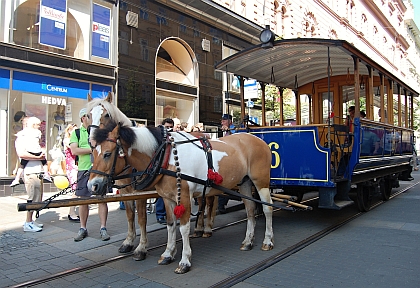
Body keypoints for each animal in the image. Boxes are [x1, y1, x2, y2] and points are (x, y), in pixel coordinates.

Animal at [84, 93, 148, 260]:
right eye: (88, 115)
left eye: (106, 115)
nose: (93, 140)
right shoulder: (126, 192)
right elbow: (130, 215)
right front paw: (128, 241)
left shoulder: (141, 192)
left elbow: (141, 218)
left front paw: (141, 247)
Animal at [87, 120, 274, 274]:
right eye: (93, 152)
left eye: (107, 154)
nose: (92, 186)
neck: (165, 155)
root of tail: (258, 139)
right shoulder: (168, 198)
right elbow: (170, 225)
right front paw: (168, 254)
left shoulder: (183, 197)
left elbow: (183, 228)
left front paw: (184, 261)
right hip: (244, 183)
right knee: (250, 210)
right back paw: (248, 241)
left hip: (261, 182)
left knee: (267, 208)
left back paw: (267, 241)